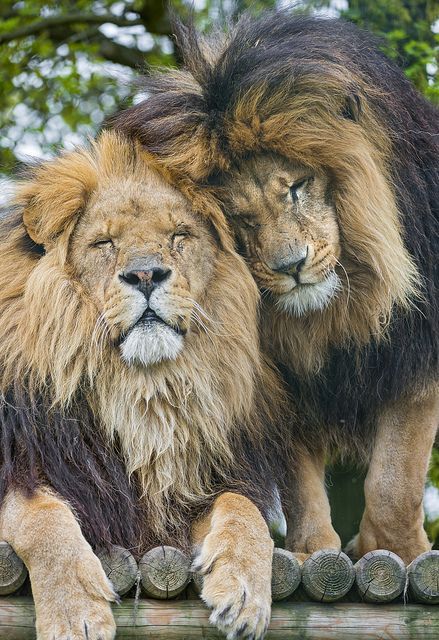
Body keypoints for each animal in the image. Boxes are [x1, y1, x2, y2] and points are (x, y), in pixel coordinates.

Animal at [0, 131, 294, 640]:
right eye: (103, 242)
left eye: (179, 236)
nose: (145, 274)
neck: (145, 392)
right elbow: (40, 517)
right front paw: (74, 614)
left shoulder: (193, 491)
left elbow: (243, 508)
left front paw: (244, 592)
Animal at [111, 8, 439, 560]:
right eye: (238, 218)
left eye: (297, 187)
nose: (291, 266)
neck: (335, 312)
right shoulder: (272, 380)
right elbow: (299, 481)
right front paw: (311, 552)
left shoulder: (413, 352)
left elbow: (394, 482)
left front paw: (396, 551)